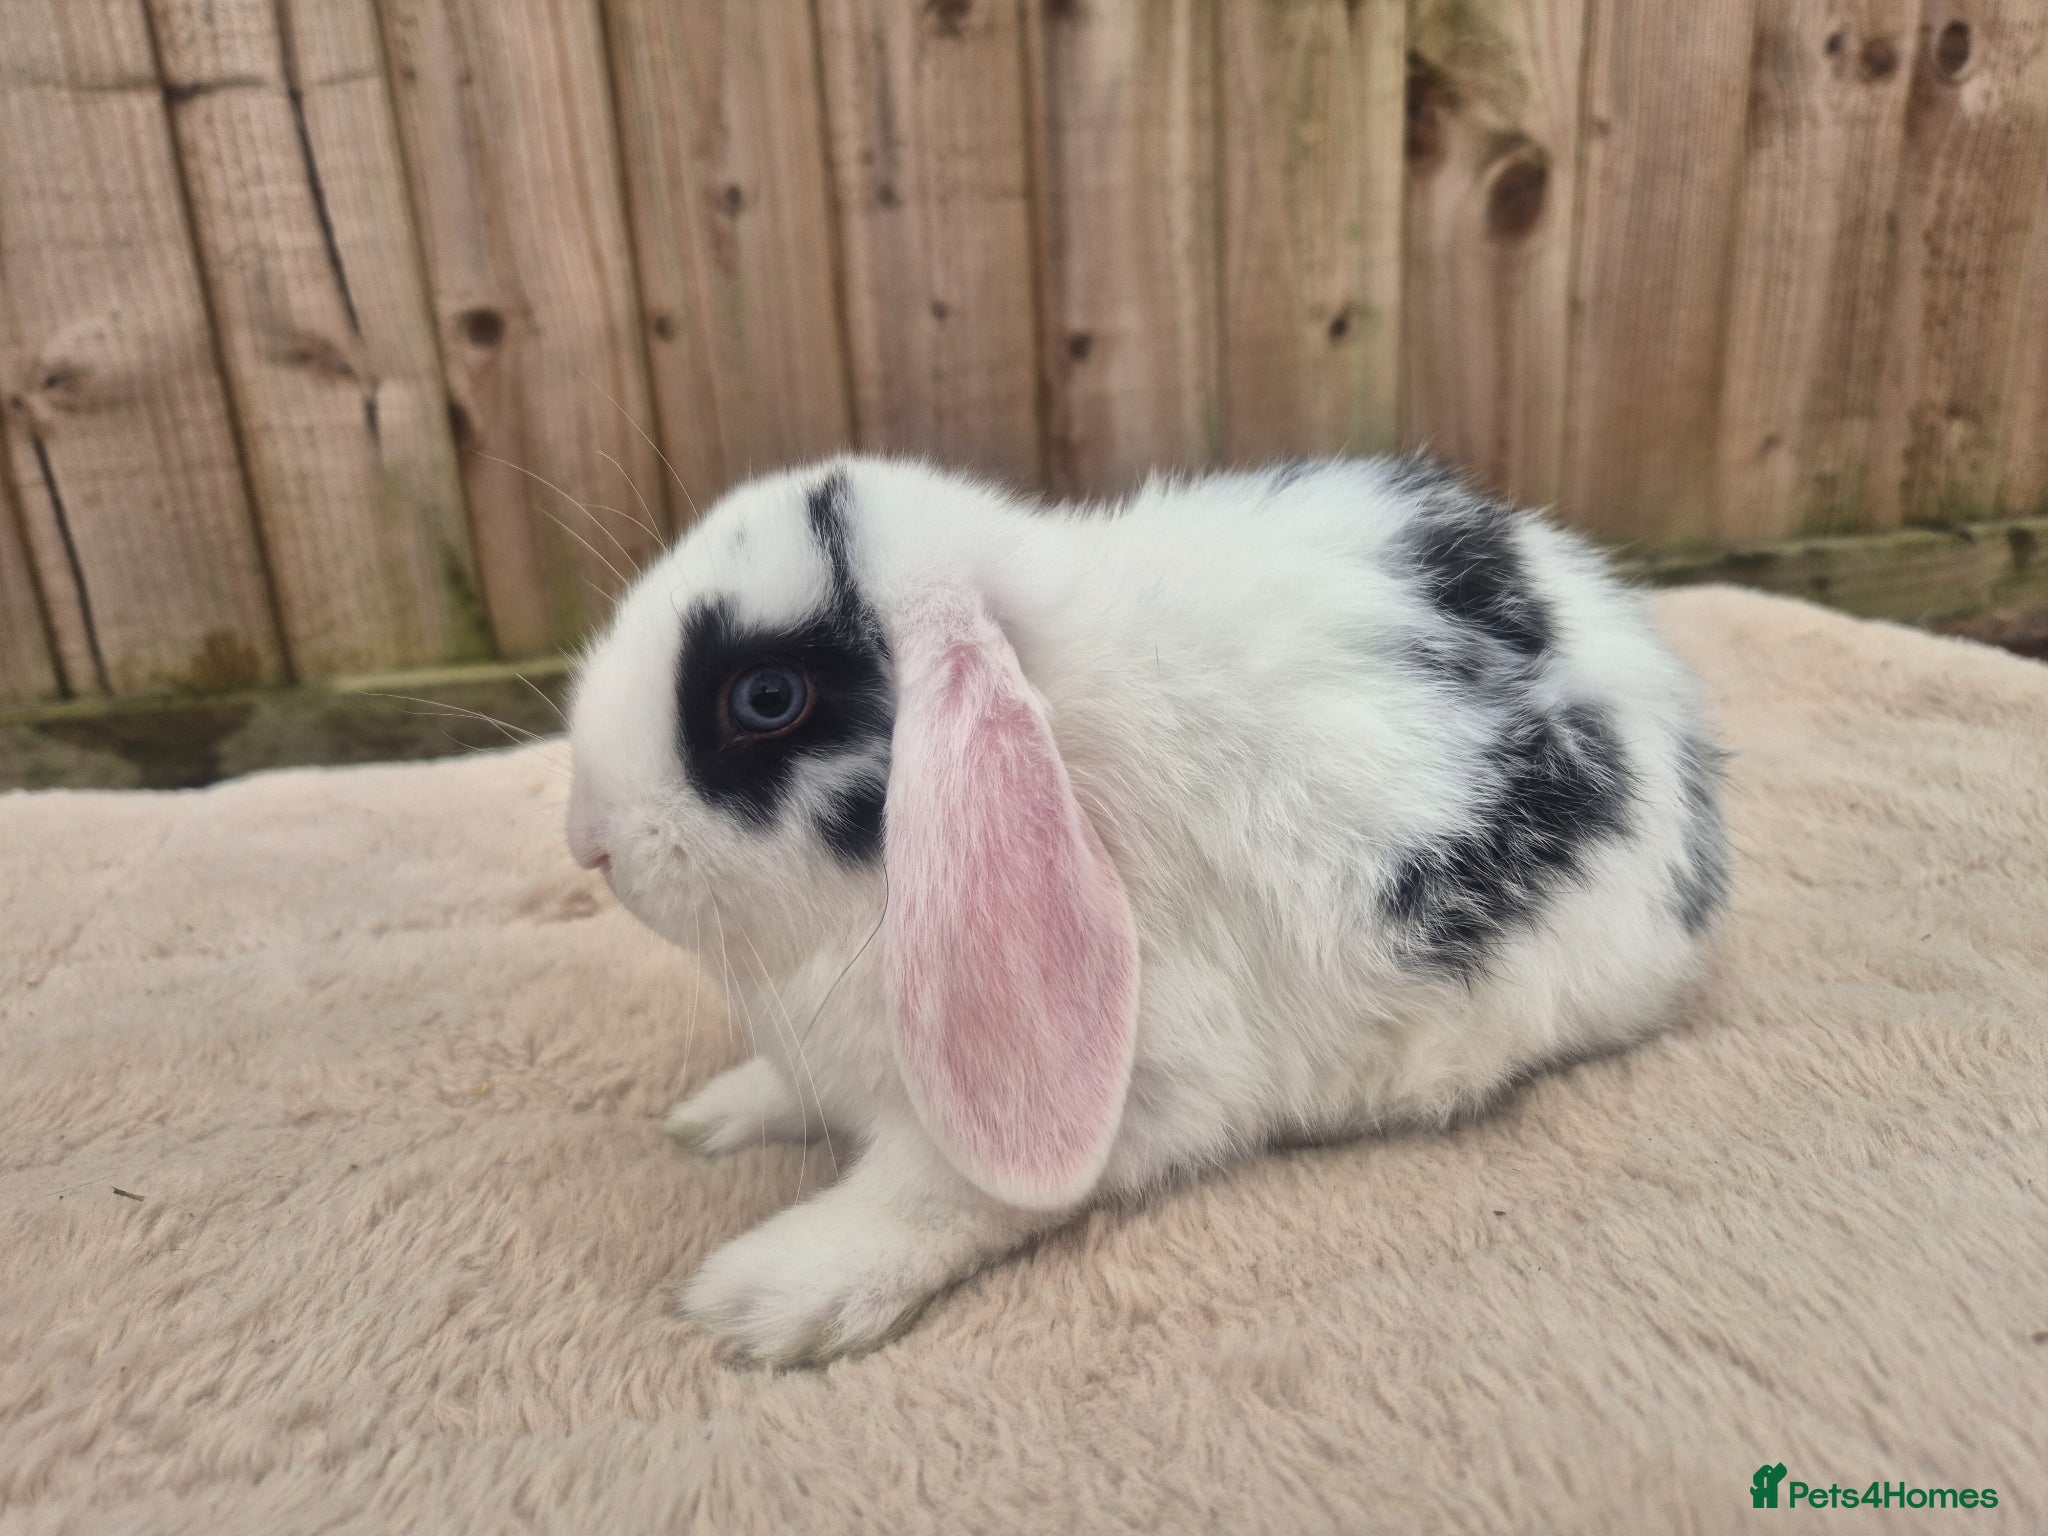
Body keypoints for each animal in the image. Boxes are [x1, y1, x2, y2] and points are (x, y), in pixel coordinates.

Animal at [565, 453, 1729, 1364]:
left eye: (766, 698)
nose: (587, 842)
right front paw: (712, 1115)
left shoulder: (1119, 1087)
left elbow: (935, 1197)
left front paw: (766, 1295)